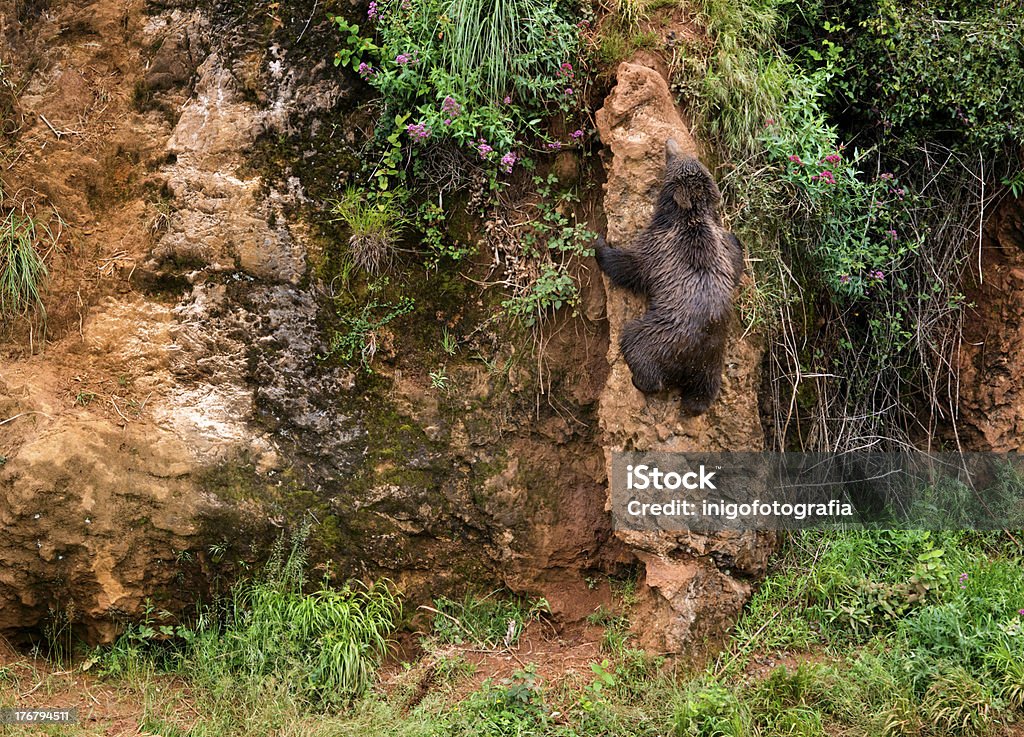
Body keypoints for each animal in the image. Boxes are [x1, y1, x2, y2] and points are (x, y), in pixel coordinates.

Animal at [593, 138, 745, 413]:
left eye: (673, 159)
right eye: (687, 155)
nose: (669, 142)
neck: (690, 217)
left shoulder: (657, 249)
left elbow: (628, 266)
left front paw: (599, 243)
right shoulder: (727, 248)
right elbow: (737, 255)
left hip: (659, 336)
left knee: (636, 345)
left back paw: (641, 380)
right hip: (713, 361)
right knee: (704, 391)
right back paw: (696, 403)